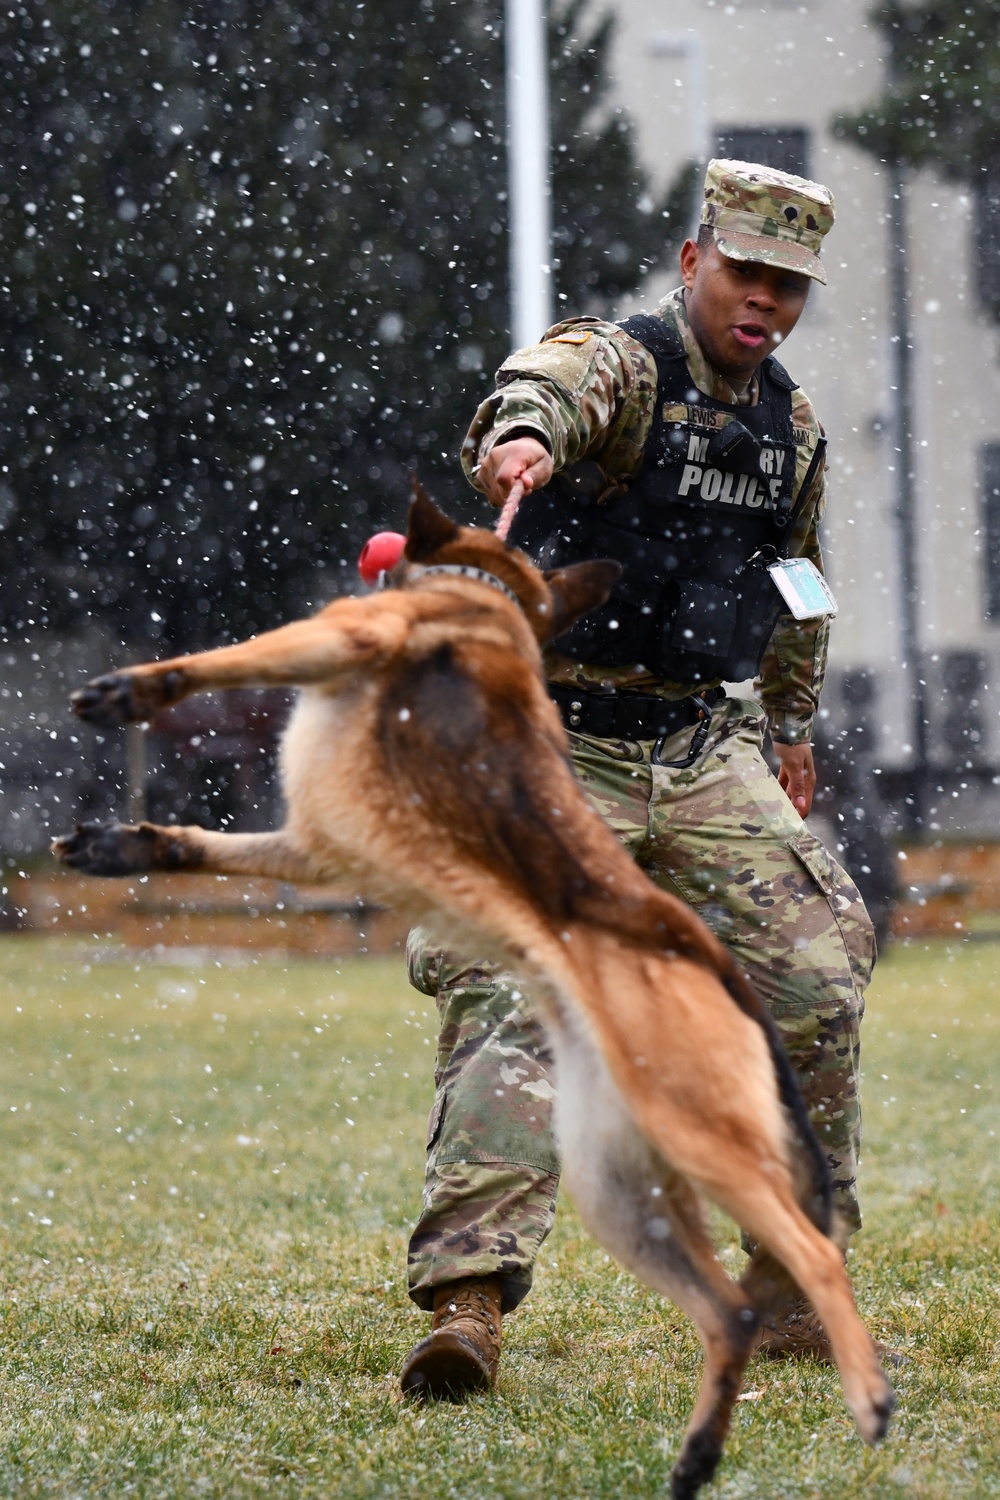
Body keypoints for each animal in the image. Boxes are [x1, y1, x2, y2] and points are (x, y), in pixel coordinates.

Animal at [54, 486, 893, 1494]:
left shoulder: (347, 632)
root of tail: (702, 957)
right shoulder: (309, 847)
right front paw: (125, 845)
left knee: (812, 1252)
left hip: (701, 1134)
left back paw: (866, 1397)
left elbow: (224, 658)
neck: (489, 595)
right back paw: (694, 1455)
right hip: (623, 1188)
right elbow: (201, 845)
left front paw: (131, 690)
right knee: (727, 1307)